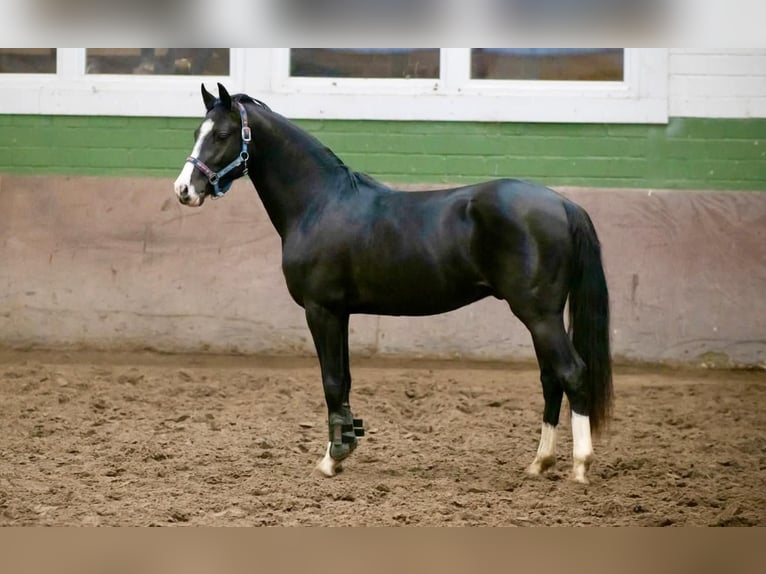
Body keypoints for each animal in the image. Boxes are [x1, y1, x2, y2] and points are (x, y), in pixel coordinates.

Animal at [173, 83, 613, 484]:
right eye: (196, 131)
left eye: (222, 135)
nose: (183, 190)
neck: (319, 203)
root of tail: (563, 204)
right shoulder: (341, 312)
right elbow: (344, 381)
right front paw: (343, 447)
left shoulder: (321, 310)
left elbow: (331, 380)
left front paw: (331, 460)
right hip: (542, 317)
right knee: (551, 378)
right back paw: (539, 463)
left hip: (539, 314)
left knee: (572, 372)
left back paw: (580, 466)